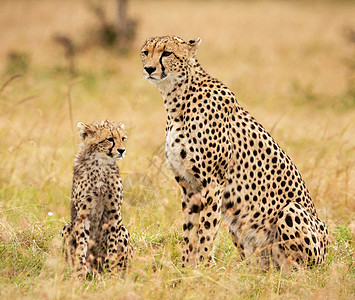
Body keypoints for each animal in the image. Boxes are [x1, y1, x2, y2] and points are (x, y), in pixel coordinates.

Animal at [62, 120, 133, 278]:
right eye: (110, 139)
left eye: (123, 138)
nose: (122, 150)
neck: (100, 164)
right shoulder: (83, 213)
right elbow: (81, 244)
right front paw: (80, 271)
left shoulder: (114, 212)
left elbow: (112, 245)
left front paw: (110, 271)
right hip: (67, 226)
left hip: (123, 230)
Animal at [140, 35, 330, 270]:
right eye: (145, 52)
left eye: (166, 53)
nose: (149, 68)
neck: (177, 99)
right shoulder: (188, 186)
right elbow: (189, 233)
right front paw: (185, 269)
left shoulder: (213, 183)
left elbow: (206, 232)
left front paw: (201, 269)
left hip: (291, 212)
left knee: (298, 267)